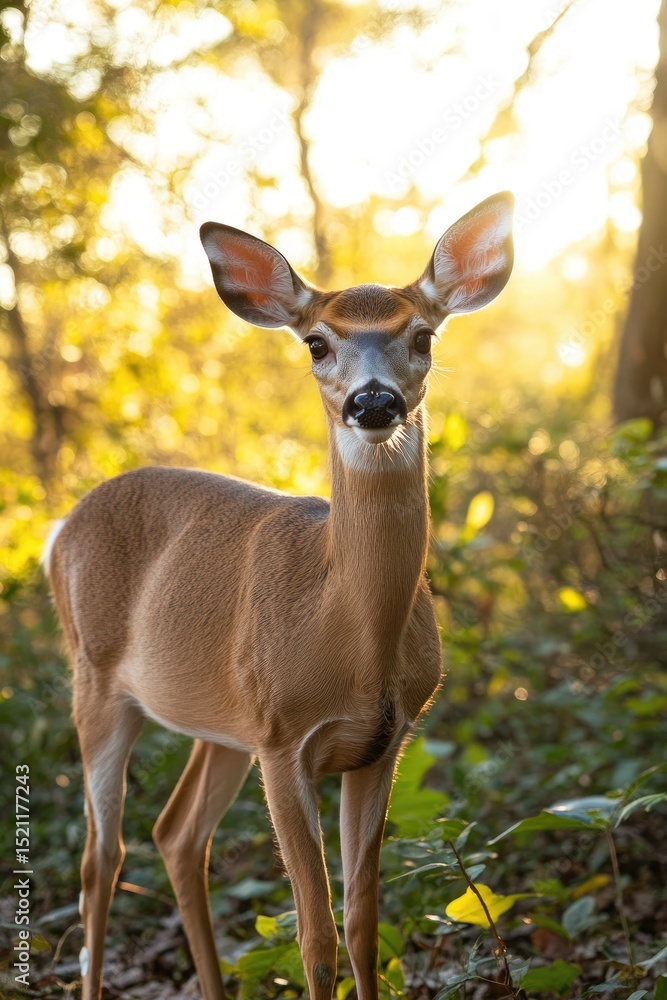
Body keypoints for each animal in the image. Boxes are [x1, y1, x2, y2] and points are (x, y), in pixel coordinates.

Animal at [44, 190, 514, 1000]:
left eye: (422, 335)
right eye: (316, 343)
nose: (373, 402)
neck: (351, 636)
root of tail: (57, 532)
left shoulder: (380, 742)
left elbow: (363, 924)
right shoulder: (283, 741)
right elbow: (315, 935)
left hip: (220, 719)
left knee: (177, 833)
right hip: (97, 681)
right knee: (100, 858)